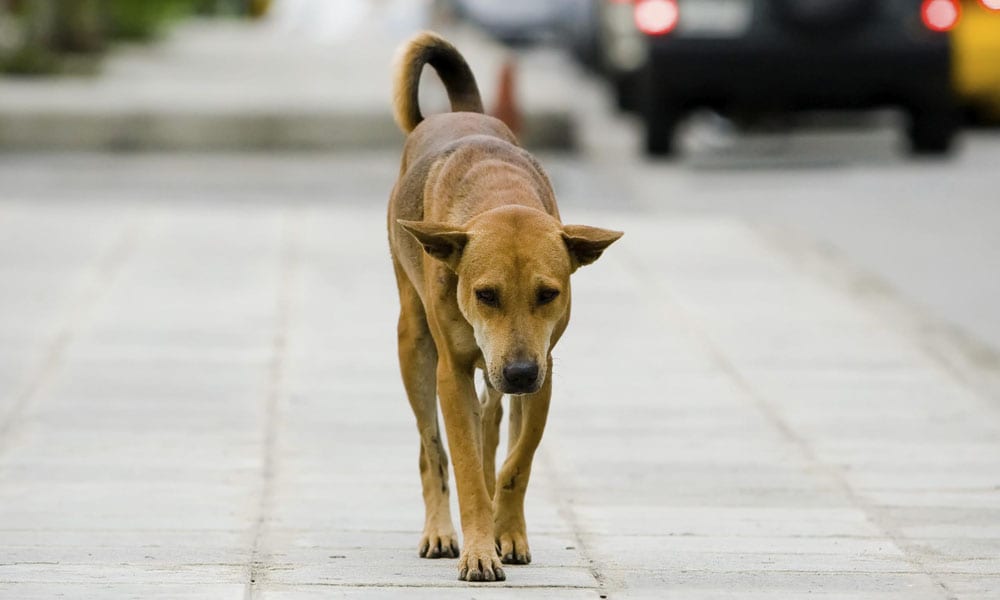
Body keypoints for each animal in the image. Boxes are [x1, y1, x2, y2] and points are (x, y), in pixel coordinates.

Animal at [386, 31, 620, 580]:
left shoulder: (545, 369)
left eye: (548, 294)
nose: (517, 373)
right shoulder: (453, 372)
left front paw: (507, 532)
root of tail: (456, 114)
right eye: (485, 294)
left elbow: (518, 460)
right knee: (432, 447)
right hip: (414, 340)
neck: (498, 193)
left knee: (492, 425)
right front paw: (477, 549)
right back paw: (440, 531)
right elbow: (466, 465)